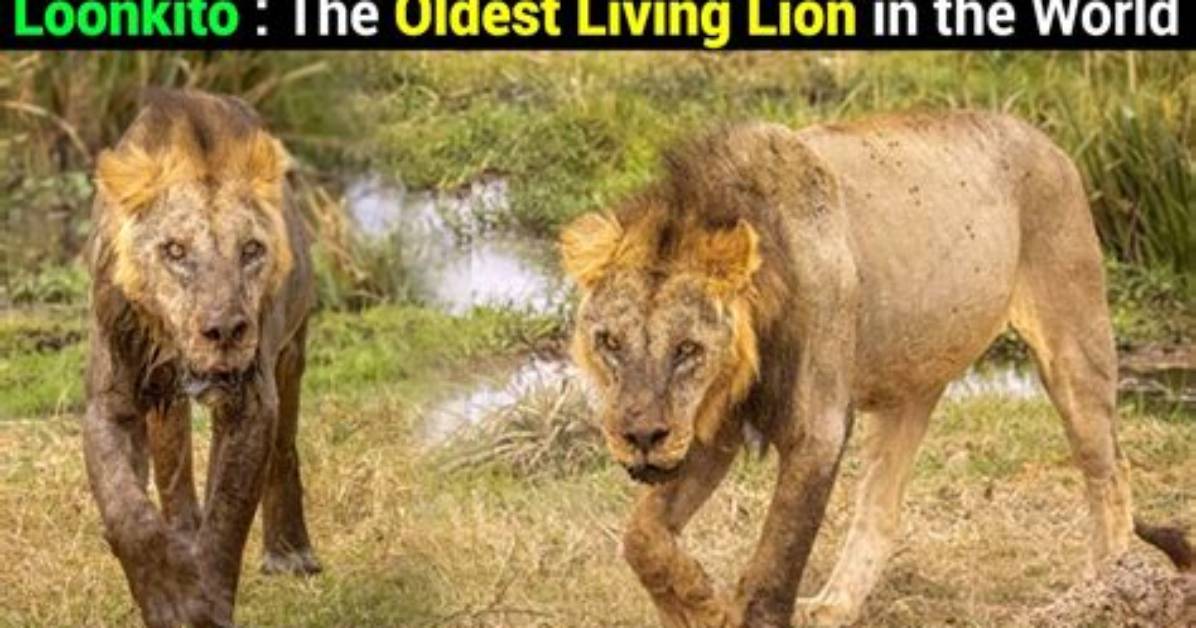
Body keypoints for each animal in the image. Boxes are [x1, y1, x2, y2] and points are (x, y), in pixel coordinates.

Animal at [83, 89, 318, 627]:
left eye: (250, 250)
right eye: (175, 250)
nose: (225, 331)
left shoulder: (252, 400)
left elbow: (227, 516)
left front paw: (204, 604)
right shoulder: (110, 402)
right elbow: (128, 510)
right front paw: (168, 596)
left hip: (291, 351)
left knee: (283, 449)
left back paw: (289, 552)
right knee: (174, 473)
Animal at [560, 113, 1143, 627]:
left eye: (686, 349)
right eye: (609, 342)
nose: (641, 437)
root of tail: (1047, 141)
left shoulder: (817, 431)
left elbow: (775, 566)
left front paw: (729, 608)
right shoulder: (709, 425)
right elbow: (642, 538)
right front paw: (699, 606)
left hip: (1075, 343)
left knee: (1109, 470)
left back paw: (1107, 592)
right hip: (910, 386)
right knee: (880, 509)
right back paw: (833, 606)